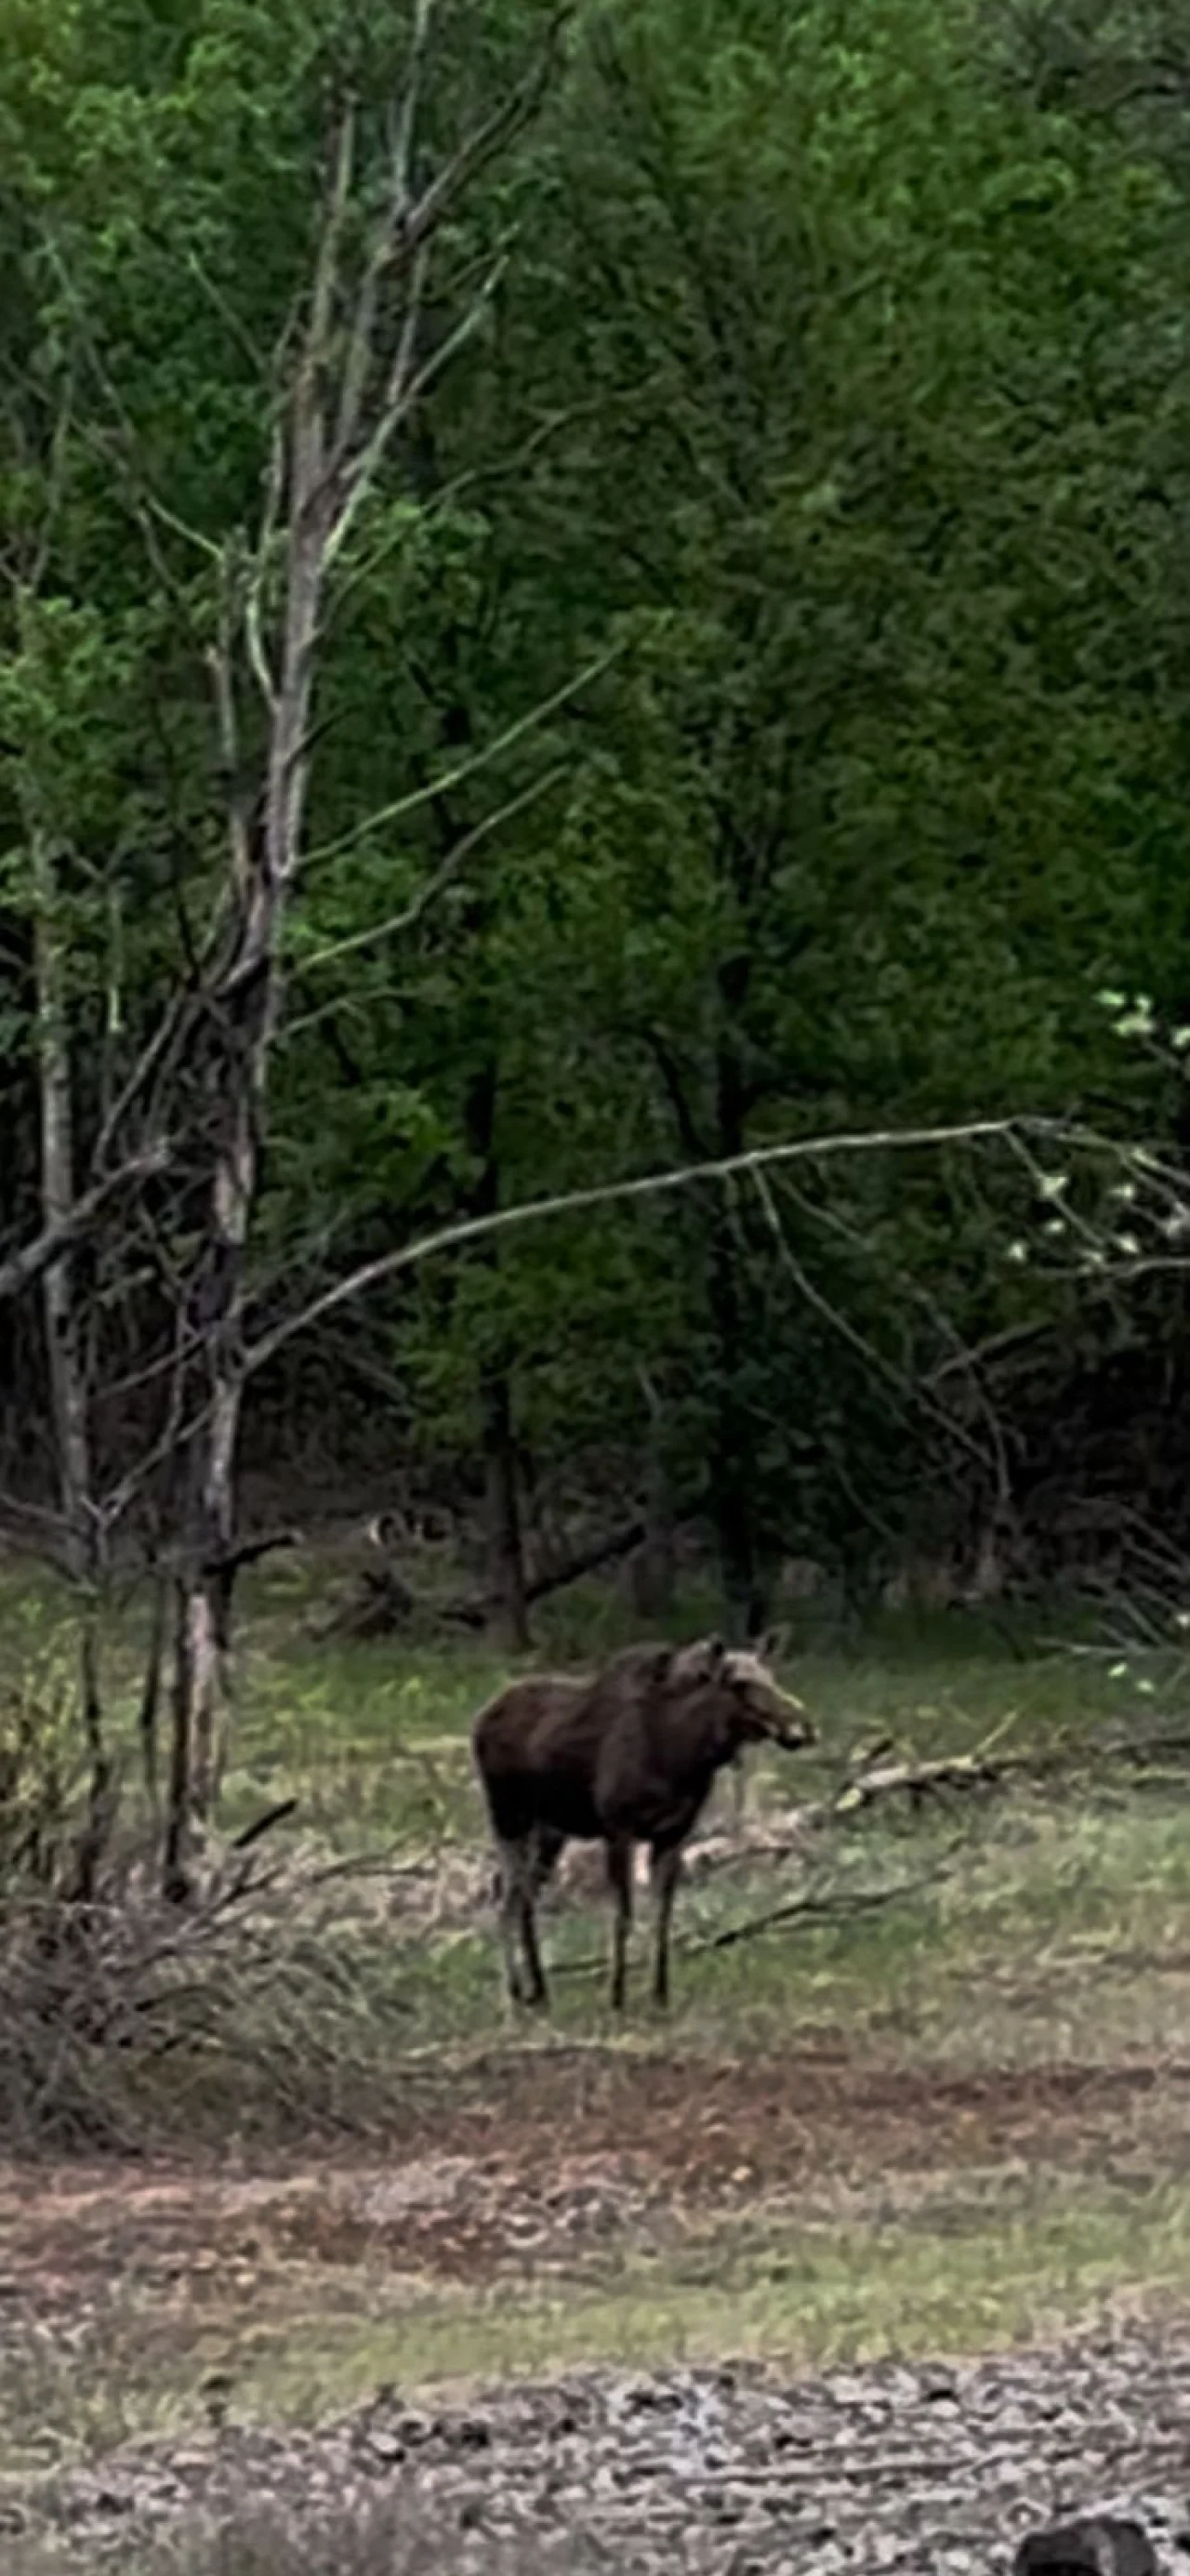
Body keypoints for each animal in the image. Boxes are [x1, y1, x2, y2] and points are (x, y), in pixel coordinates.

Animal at [470, 1634, 816, 2013]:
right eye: (739, 1683)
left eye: (772, 1677)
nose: (801, 1729)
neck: (684, 1757)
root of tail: (481, 1718)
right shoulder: (619, 1830)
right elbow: (623, 1916)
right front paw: (617, 1998)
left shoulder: (673, 1835)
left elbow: (662, 1919)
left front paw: (660, 1997)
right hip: (507, 1816)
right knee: (505, 1896)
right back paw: (516, 1993)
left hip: (550, 1830)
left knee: (523, 1896)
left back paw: (540, 1991)